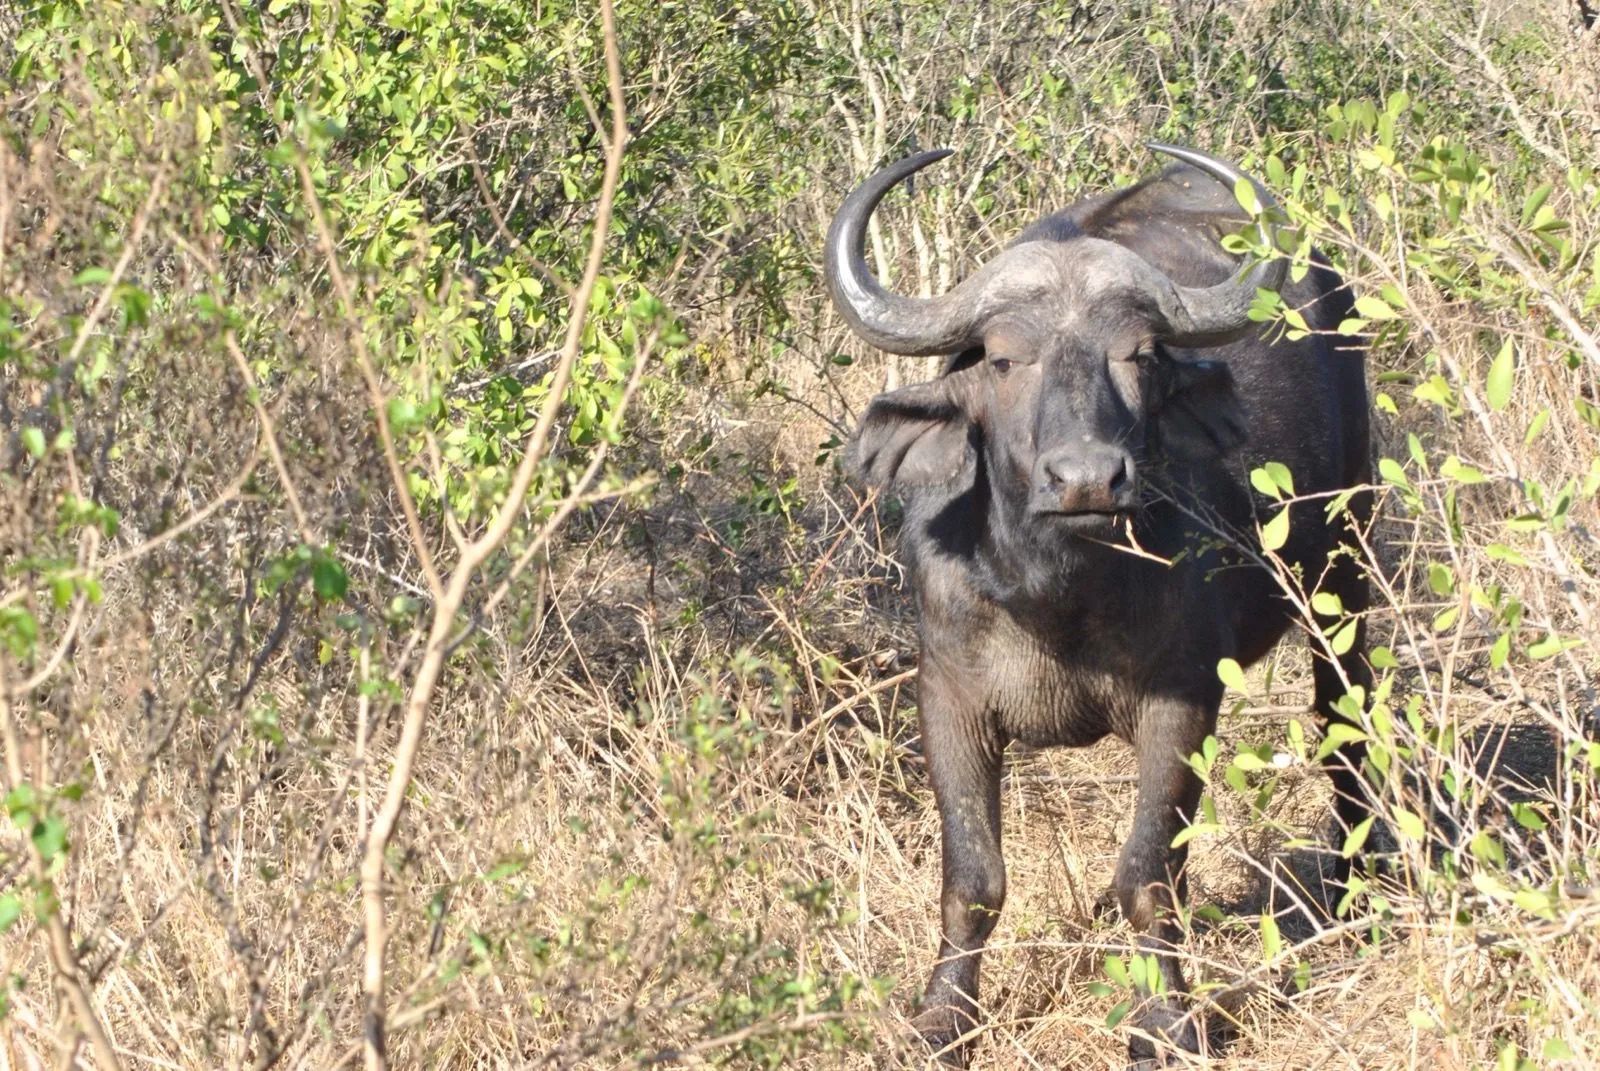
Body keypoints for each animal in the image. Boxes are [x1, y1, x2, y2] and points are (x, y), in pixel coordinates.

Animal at [825, 145, 1373, 1067]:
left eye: (1141, 354)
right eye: (1003, 359)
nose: (1086, 478)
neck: (1056, 596)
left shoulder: (1182, 702)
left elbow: (1148, 874)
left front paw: (1167, 1021)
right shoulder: (946, 697)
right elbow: (972, 879)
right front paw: (943, 1018)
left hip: (1347, 567)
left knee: (1348, 720)